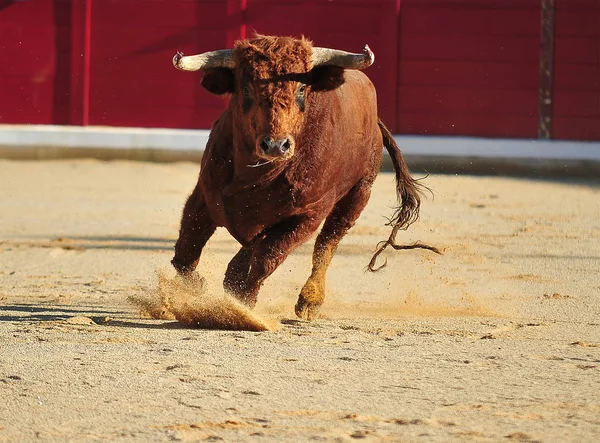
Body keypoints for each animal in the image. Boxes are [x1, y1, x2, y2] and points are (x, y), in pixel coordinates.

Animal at [169, 34, 436, 320]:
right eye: (246, 89)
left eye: (300, 90)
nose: (276, 145)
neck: (257, 175)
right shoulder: (203, 198)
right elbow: (185, 253)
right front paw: (198, 289)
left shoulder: (308, 215)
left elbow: (268, 258)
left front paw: (243, 307)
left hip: (359, 193)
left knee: (327, 242)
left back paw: (310, 300)